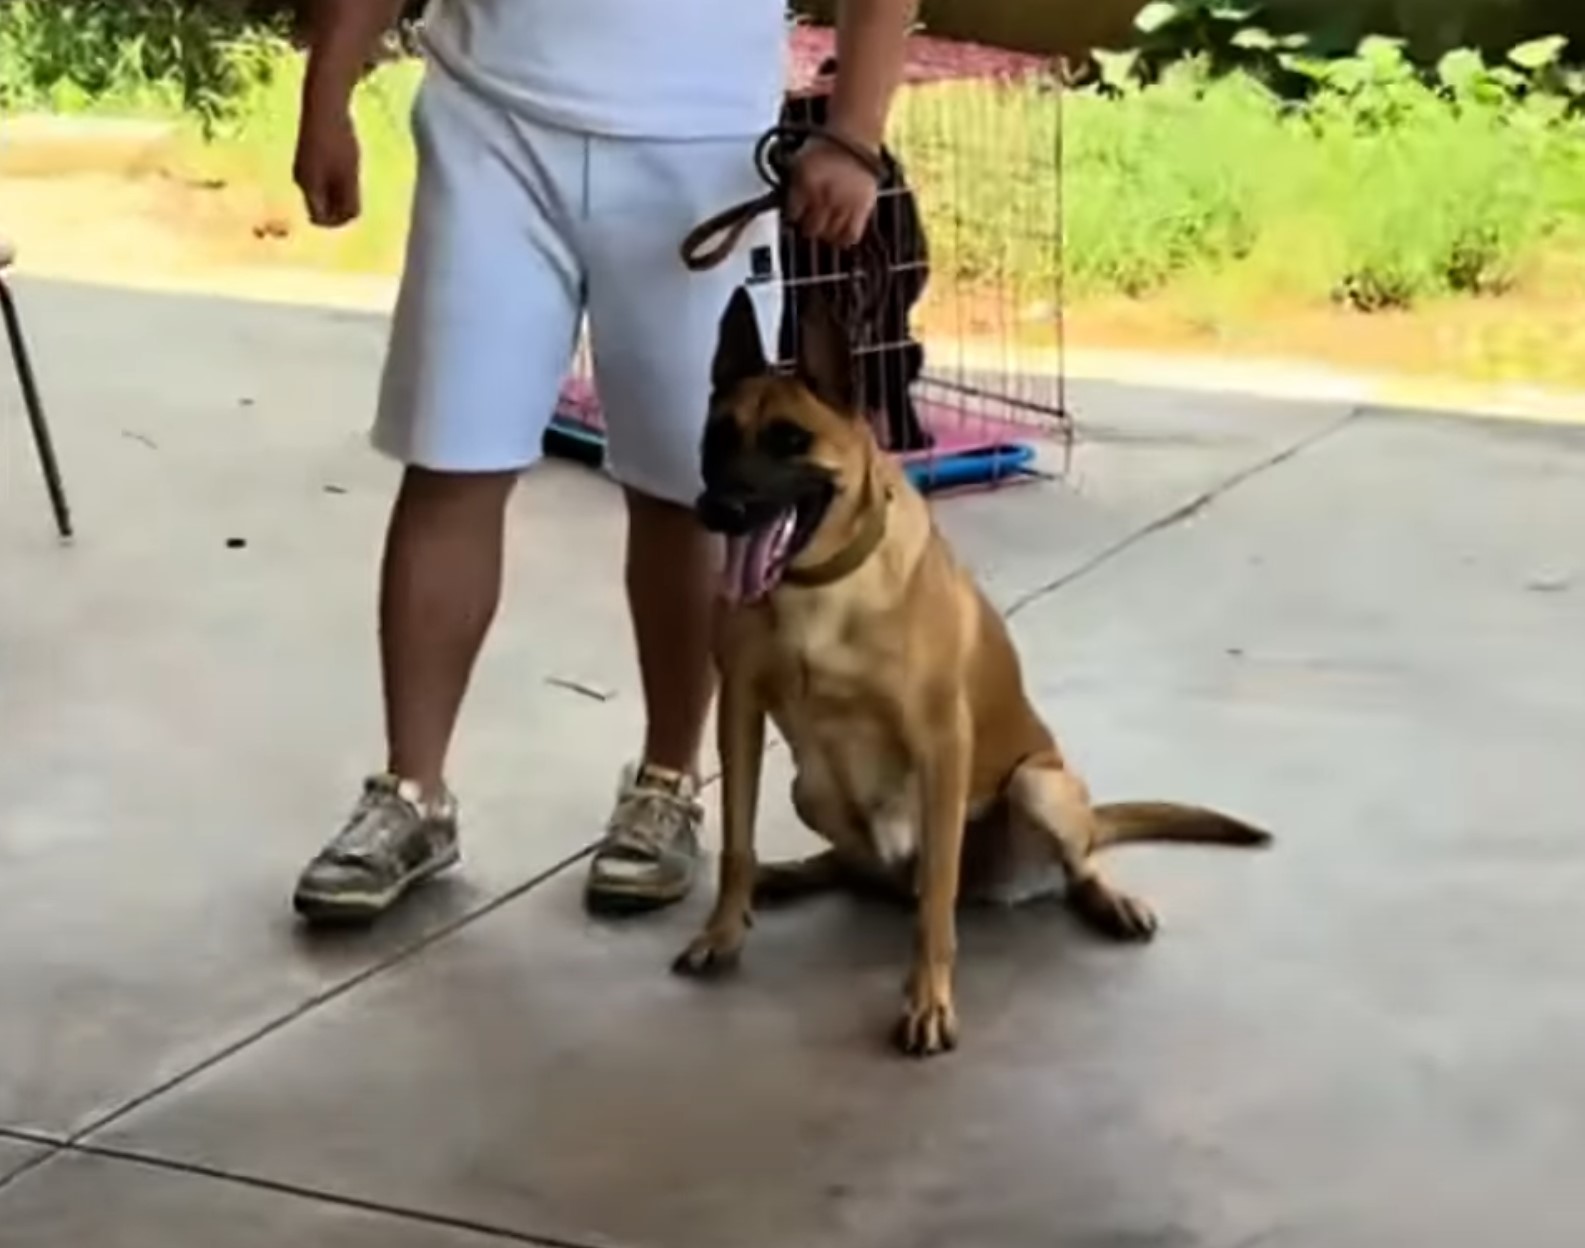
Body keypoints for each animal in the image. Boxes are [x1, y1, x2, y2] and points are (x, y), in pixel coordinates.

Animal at [675, 290, 1268, 1052]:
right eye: (718, 437)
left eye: (788, 441)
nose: (716, 509)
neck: (820, 589)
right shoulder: (740, 715)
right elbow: (736, 845)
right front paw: (723, 930)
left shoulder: (942, 745)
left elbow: (937, 902)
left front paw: (927, 1001)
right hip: (810, 789)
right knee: (867, 870)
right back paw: (796, 875)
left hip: (1038, 787)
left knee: (1060, 867)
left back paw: (1109, 900)